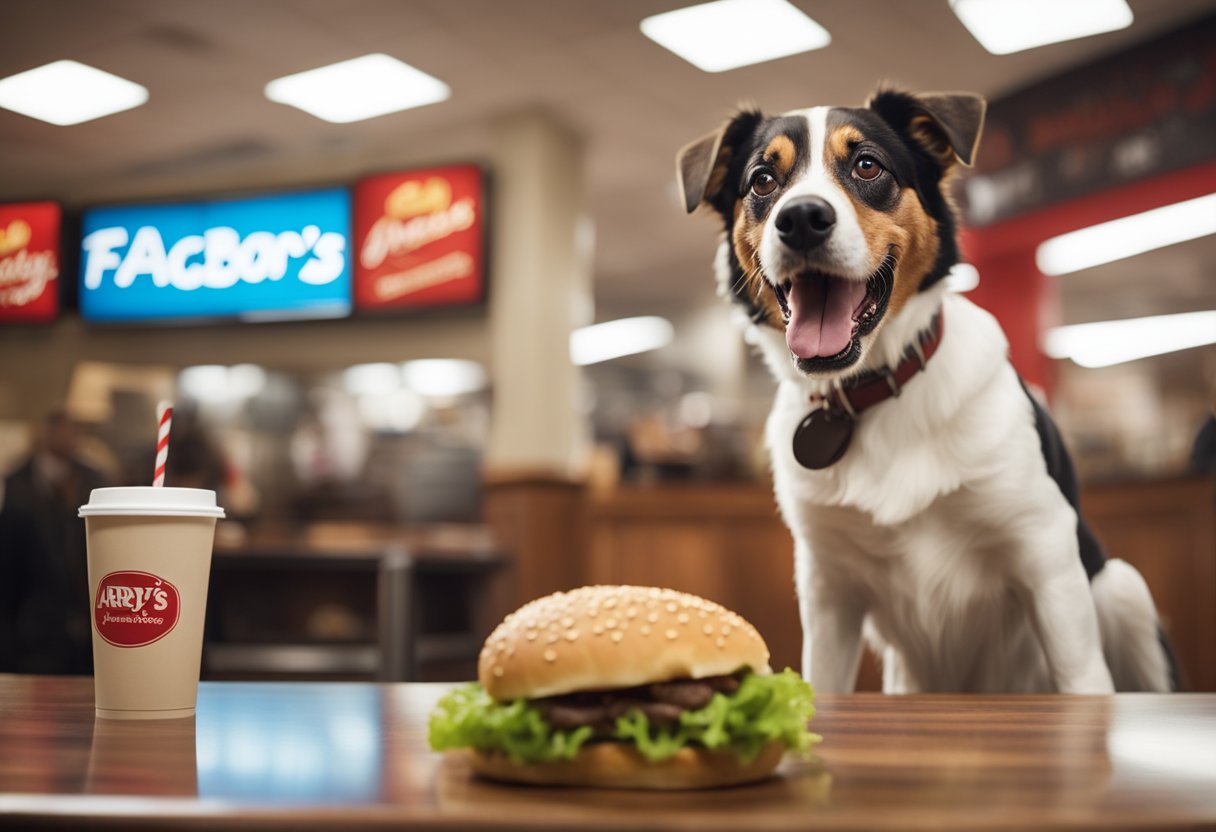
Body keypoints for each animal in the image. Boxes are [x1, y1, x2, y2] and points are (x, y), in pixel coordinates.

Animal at [680, 87, 1172, 690]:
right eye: (762, 181)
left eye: (868, 165)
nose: (800, 219)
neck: (873, 388)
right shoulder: (827, 589)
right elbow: (824, 683)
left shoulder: (1046, 552)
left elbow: (1082, 680)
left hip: (1124, 590)